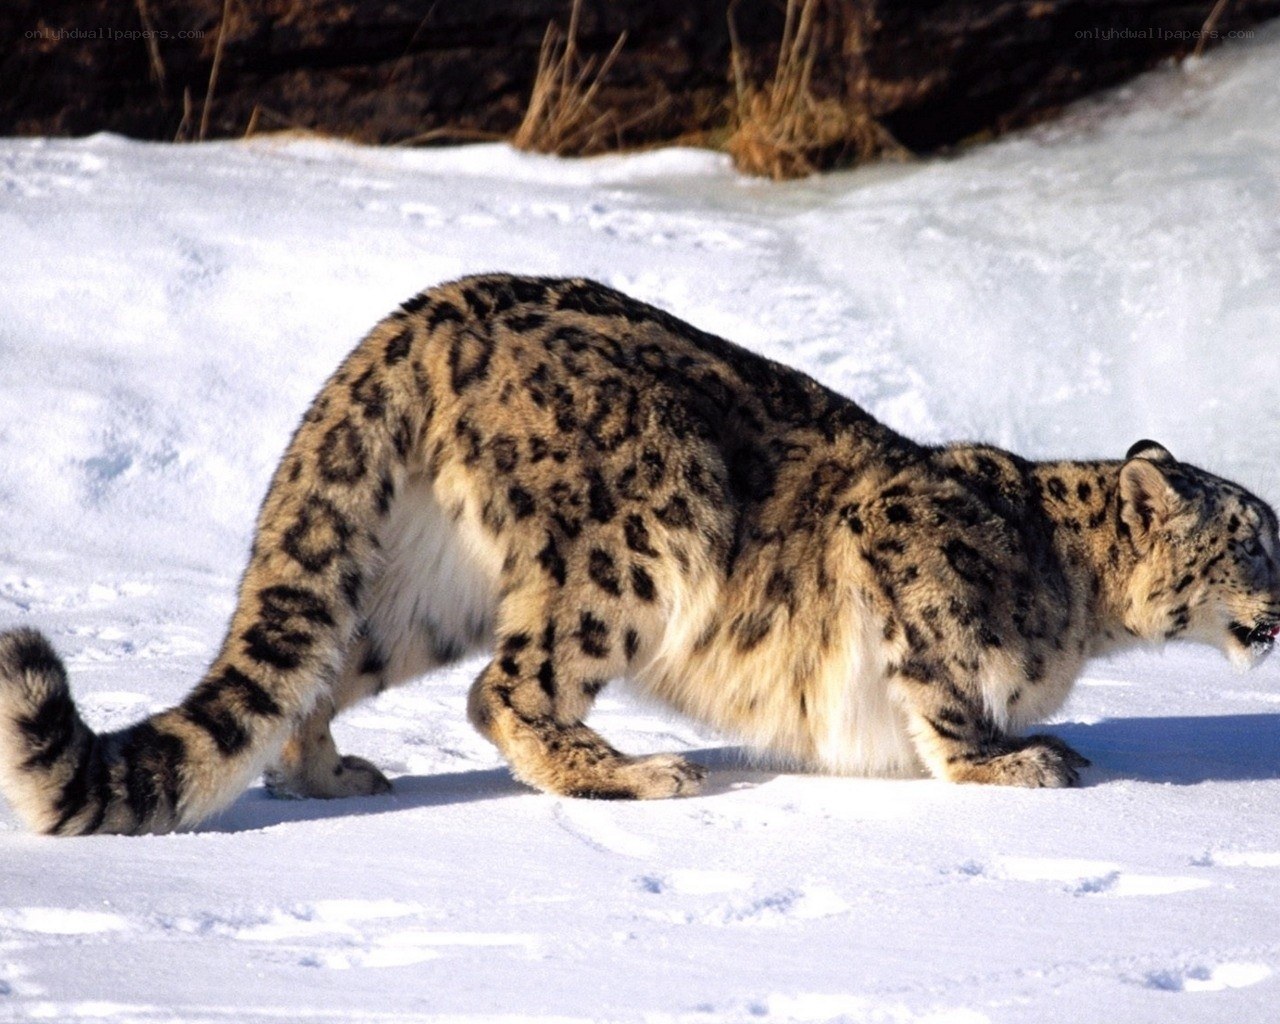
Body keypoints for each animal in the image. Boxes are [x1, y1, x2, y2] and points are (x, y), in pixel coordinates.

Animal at [1, 274, 1277, 836]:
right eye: (1249, 539)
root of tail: (421, 312)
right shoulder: (902, 540)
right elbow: (943, 686)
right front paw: (1014, 763)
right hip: (646, 524)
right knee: (505, 688)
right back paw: (632, 772)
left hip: (418, 586)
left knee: (323, 663)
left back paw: (326, 773)